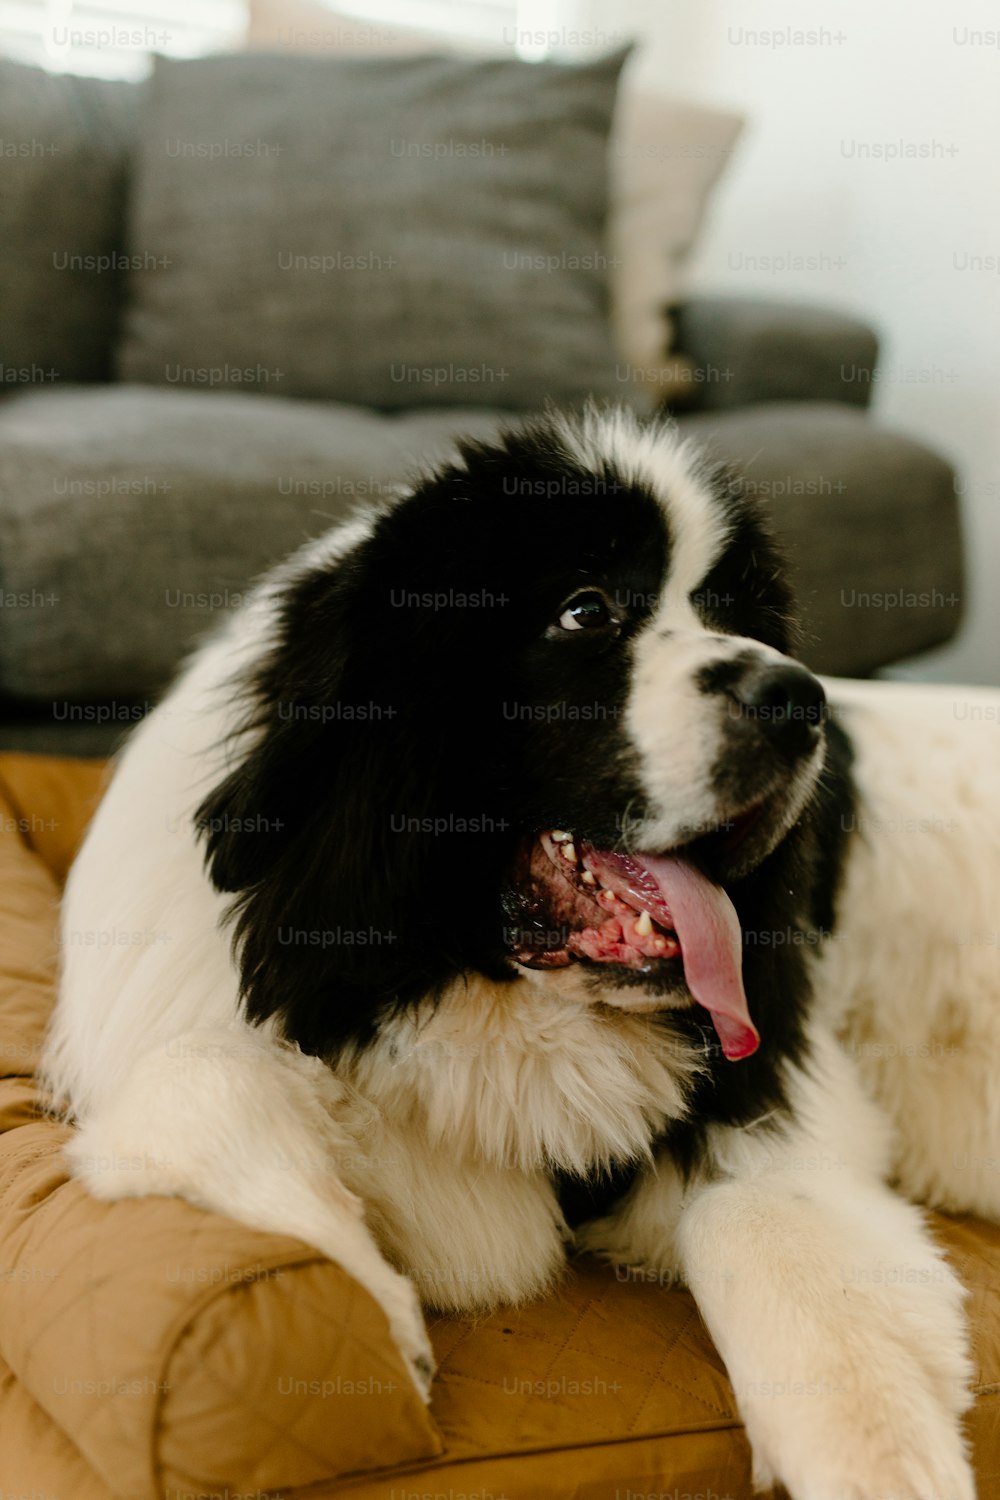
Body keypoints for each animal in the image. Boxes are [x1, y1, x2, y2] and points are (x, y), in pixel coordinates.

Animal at [43, 408, 995, 1500]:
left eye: (734, 614)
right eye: (586, 611)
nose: (797, 699)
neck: (466, 987)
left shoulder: (784, 1105)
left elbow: (749, 1214)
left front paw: (883, 1462)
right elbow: (201, 1071)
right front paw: (370, 1304)